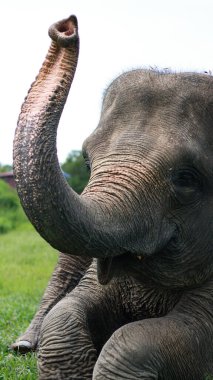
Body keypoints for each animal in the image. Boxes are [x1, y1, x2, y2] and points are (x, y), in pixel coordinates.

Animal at [12, 12, 213, 380]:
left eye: (186, 178)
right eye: (88, 162)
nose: (66, 28)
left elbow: (187, 329)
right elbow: (67, 312)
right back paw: (22, 345)